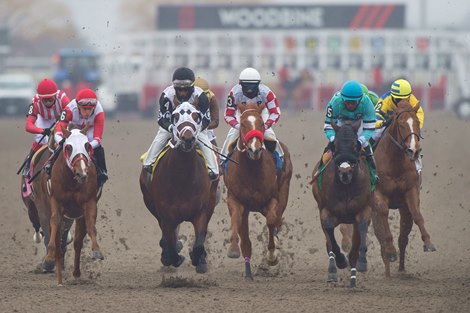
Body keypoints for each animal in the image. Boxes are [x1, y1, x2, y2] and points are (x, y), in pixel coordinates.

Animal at [139, 101, 218, 272]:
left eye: (196, 115)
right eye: (175, 116)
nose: (187, 138)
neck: (183, 180)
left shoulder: (201, 212)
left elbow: (199, 243)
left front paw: (198, 259)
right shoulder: (166, 216)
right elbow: (170, 244)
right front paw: (173, 257)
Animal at [222, 101, 292, 280]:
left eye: (261, 123)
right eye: (242, 124)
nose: (255, 149)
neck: (252, 170)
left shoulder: (272, 199)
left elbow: (271, 221)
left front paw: (272, 257)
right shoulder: (235, 199)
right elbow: (237, 221)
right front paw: (233, 249)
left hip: (283, 191)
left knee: (276, 219)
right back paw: (248, 272)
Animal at [312, 120, 374, 288]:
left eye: (355, 145)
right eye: (335, 145)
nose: (345, 172)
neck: (346, 187)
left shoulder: (364, 210)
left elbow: (361, 232)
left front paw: (362, 262)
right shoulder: (326, 212)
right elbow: (331, 240)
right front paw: (339, 262)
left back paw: (353, 277)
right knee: (329, 243)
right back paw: (333, 270)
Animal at [372, 97, 436, 276]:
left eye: (417, 123)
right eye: (400, 124)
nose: (413, 150)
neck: (394, 161)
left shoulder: (410, 191)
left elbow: (417, 214)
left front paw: (428, 242)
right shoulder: (378, 194)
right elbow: (384, 215)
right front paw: (390, 250)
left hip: (402, 208)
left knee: (403, 238)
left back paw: (400, 269)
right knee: (380, 236)